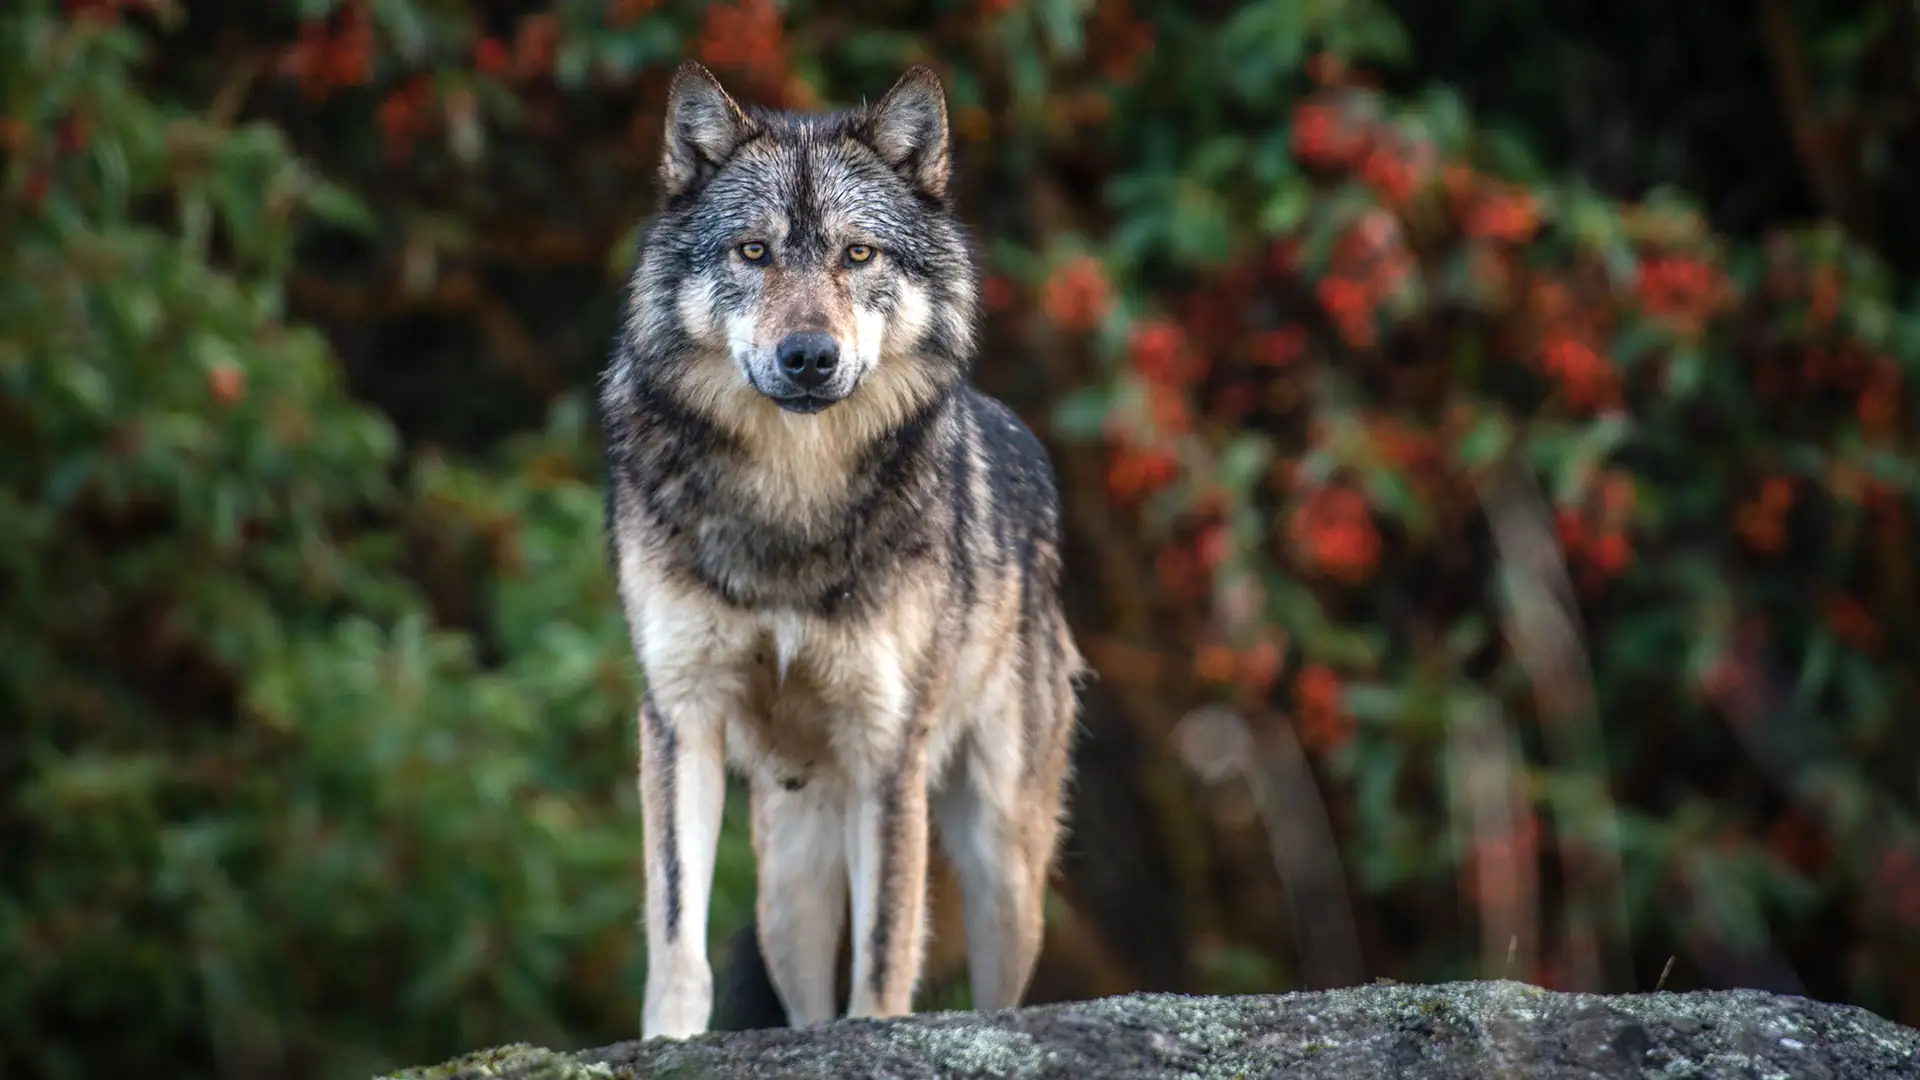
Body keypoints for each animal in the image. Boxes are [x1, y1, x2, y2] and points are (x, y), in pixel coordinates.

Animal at [599, 58, 1082, 1037]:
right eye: (753, 252)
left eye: (858, 255)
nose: (809, 357)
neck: (794, 498)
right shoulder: (679, 715)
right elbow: (676, 933)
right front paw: (668, 1040)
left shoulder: (888, 745)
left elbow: (888, 952)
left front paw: (882, 1029)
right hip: (789, 889)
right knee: (802, 995)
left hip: (1003, 869)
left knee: (997, 987)